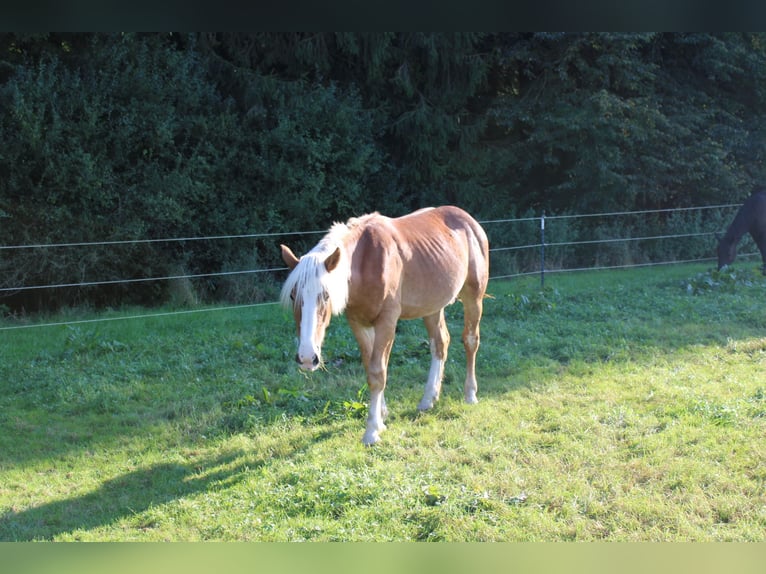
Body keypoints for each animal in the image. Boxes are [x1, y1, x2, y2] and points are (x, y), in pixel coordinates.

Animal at [280, 206, 488, 446]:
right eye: (293, 295)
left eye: (326, 295)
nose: (307, 358)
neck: (364, 261)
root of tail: (468, 220)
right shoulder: (359, 324)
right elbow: (370, 368)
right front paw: (381, 416)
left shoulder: (387, 322)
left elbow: (378, 372)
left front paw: (371, 431)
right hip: (432, 308)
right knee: (440, 344)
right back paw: (428, 399)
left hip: (474, 298)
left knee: (470, 341)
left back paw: (470, 394)